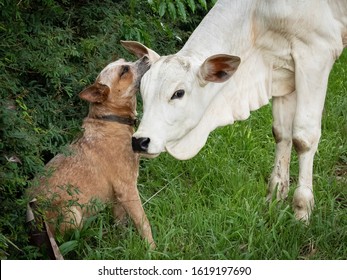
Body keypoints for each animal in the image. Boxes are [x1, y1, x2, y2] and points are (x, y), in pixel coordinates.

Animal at [27, 43, 161, 252]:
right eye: (124, 70)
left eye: (125, 60)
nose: (146, 56)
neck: (111, 120)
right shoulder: (128, 188)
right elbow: (143, 223)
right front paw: (152, 249)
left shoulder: (118, 195)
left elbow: (120, 220)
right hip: (72, 213)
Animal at [122, 0, 347, 223]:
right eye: (143, 90)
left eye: (178, 93)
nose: (140, 141)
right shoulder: (283, 71)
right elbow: (282, 133)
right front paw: (274, 197)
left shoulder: (316, 54)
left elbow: (303, 138)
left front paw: (302, 211)